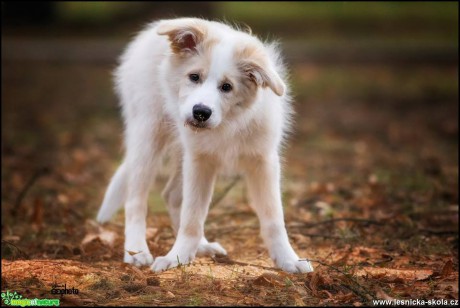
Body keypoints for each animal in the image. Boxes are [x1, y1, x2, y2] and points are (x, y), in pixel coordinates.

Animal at [96, 17, 312, 272]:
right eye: (194, 77)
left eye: (227, 87)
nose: (200, 112)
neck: (228, 123)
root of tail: (150, 32)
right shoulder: (200, 160)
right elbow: (192, 217)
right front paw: (176, 257)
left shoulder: (263, 161)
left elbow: (274, 218)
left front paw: (289, 260)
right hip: (148, 135)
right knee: (135, 201)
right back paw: (137, 251)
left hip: (180, 152)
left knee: (172, 196)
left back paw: (202, 247)